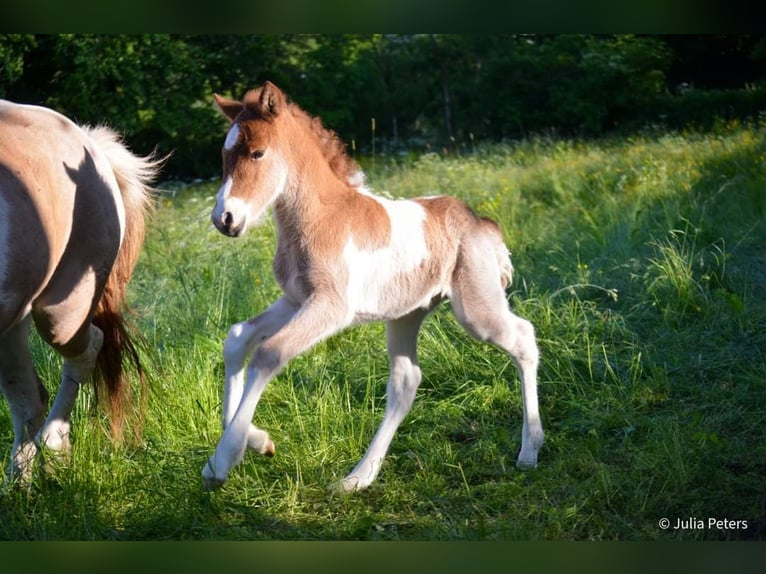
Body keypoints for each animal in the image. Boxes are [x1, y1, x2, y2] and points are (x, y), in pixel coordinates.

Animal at [1, 101, 164, 488]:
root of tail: (85, 137)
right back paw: (19, 487)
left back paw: (56, 449)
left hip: (61, 316)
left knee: (87, 349)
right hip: (15, 319)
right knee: (27, 398)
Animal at [201, 82, 544, 496]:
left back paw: (529, 450)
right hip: (407, 313)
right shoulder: (296, 299)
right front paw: (259, 441)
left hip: (476, 310)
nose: (225, 219)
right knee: (406, 382)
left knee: (523, 338)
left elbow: (269, 353)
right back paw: (358, 478)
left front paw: (223, 461)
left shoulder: (331, 305)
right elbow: (237, 339)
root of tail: (480, 221)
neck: (322, 216)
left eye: (257, 152)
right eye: (223, 155)